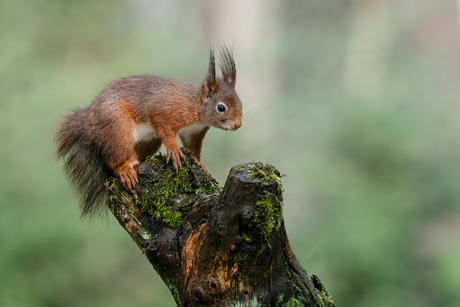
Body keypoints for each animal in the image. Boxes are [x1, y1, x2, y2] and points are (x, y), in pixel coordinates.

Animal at [55, 47, 243, 218]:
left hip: (149, 140)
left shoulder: (194, 133)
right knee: (114, 159)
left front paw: (200, 164)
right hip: (119, 127)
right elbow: (164, 128)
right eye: (221, 107)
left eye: (240, 103)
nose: (238, 125)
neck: (195, 106)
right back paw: (124, 168)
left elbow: (193, 149)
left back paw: (135, 162)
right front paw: (174, 151)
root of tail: (89, 125)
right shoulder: (163, 110)